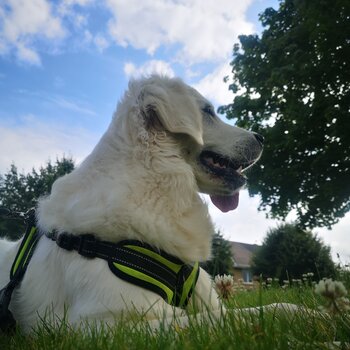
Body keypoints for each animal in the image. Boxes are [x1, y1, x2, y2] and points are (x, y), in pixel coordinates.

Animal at [0, 75, 262, 332]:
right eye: (208, 112)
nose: (261, 138)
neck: (152, 177)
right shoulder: (105, 321)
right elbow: (221, 319)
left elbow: (253, 310)